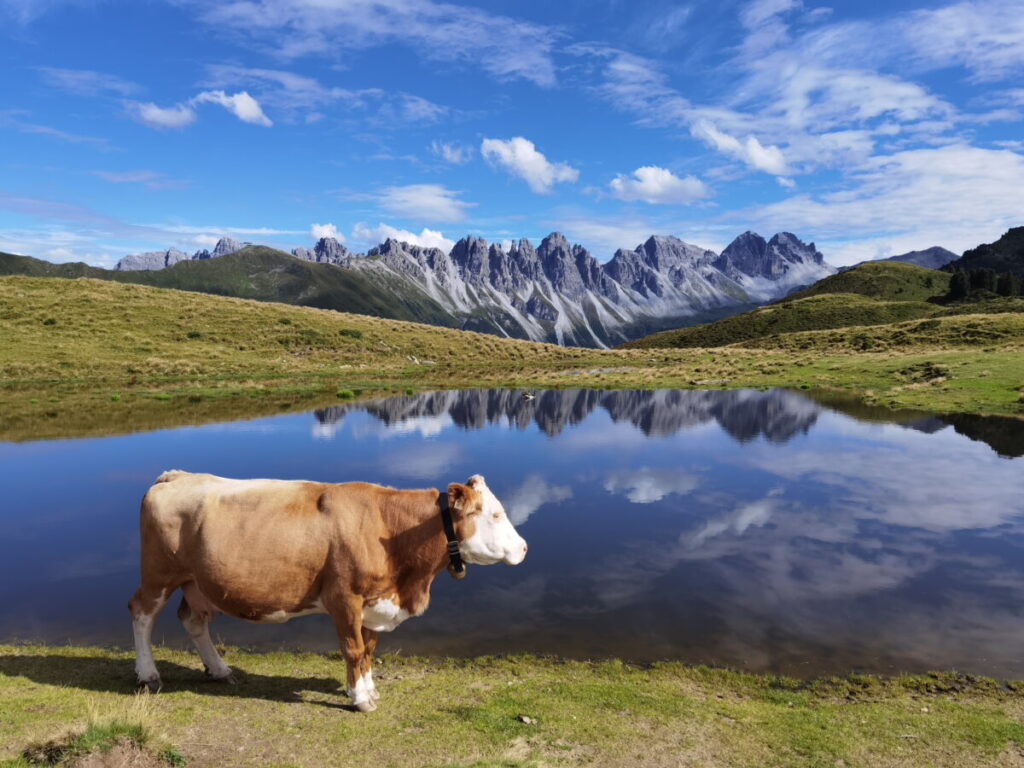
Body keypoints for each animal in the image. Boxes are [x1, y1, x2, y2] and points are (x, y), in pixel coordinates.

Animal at [128, 473, 528, 712]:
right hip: (159, 574)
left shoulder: (374, 602)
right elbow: (352, 648)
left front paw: (369, 688)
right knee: (142, 613)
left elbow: (368, 649)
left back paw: (219, 668)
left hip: (197, 582)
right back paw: (148, 675)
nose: (524, 547)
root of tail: (176, 475)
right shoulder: (345, 598)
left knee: (194, 620)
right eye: (494, 514)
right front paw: (360, 698)